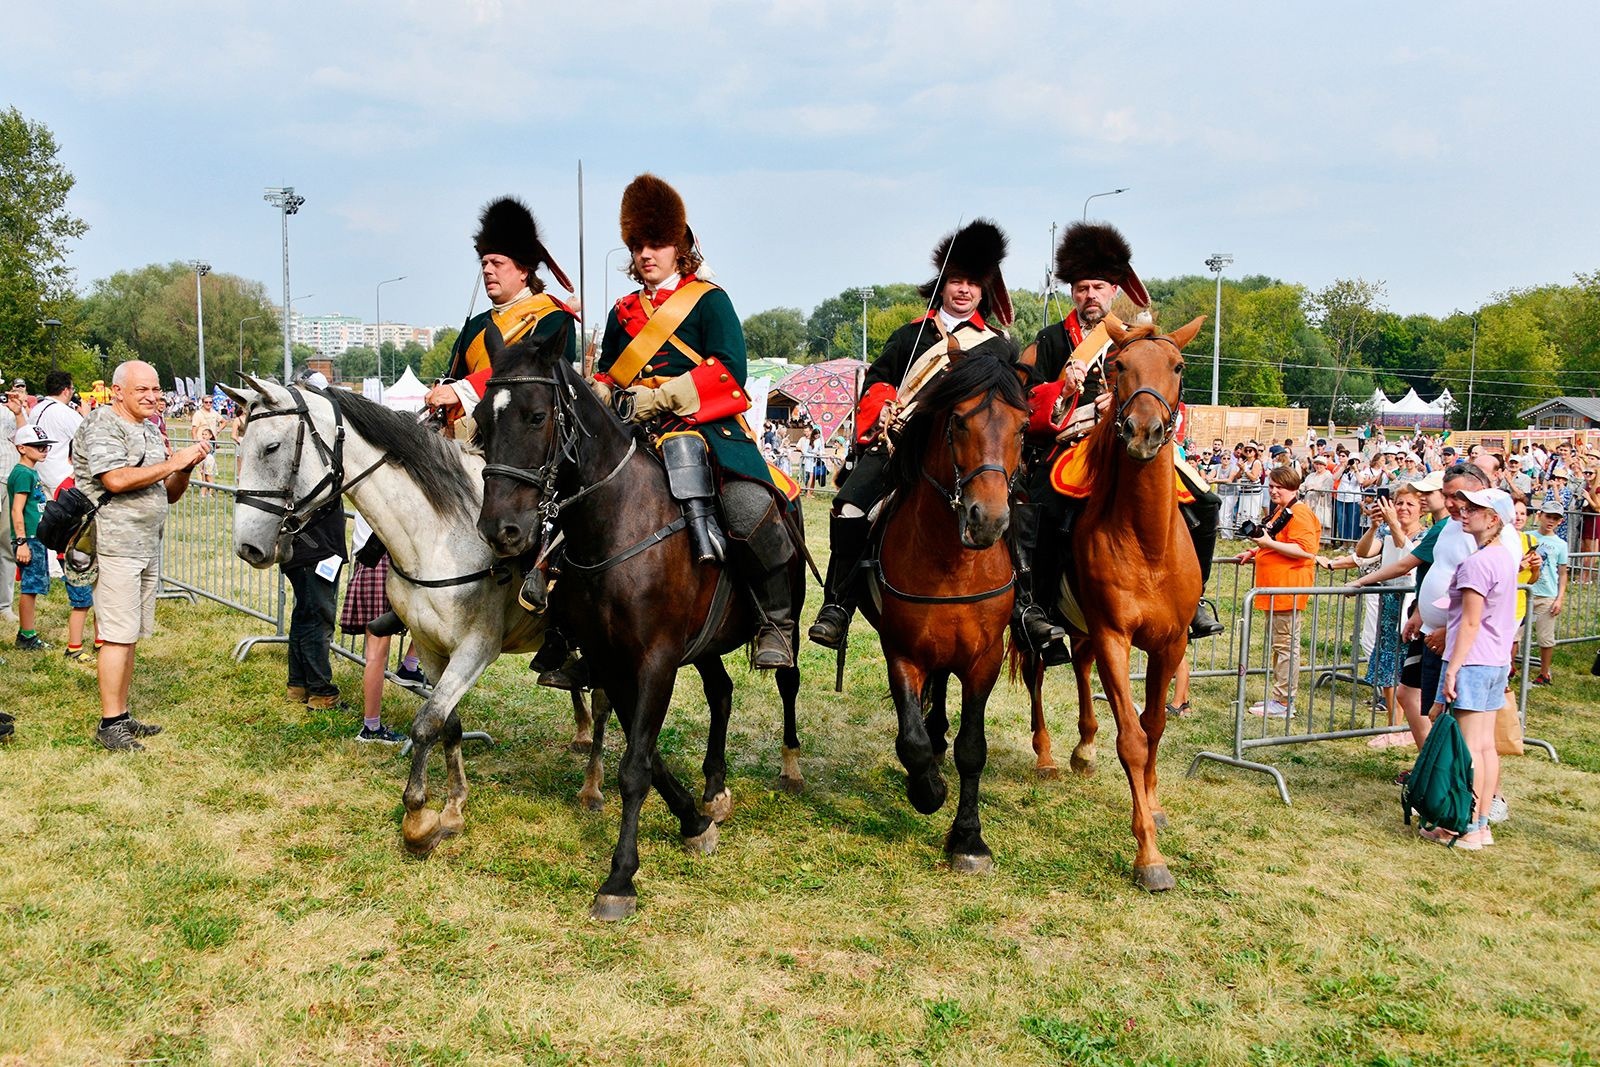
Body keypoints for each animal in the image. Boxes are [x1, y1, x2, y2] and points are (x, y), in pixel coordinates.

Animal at [228, 371, 614, 857]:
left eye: (272, 447)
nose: (248, 547)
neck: (441, 534)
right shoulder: (431, 648)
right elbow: (448, 724)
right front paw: (453, 805)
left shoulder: (475, 649)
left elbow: (427, 722)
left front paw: (417, 818)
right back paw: (577, 725)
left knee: (604, 701)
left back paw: (593, 785)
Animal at [470, 323, 800, 921]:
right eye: (482, 420)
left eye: (535, 415)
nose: (501, 530)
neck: (619, 523)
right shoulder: (611, 660)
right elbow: (645, 753)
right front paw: (693, 820)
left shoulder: (656, 661)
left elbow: (634, 767)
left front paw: (620, 877)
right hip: (706, 646)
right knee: (721, 692)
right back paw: (714, 788)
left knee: (787, 680)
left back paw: (790, 765)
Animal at [864, 343, 1024, 876]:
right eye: (957, 421)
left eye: (1021, 427)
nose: (987, 519)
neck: (953, 563)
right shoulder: (902, 652)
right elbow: (910, 740)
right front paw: (928, 789)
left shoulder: (984, 659)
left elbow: (972, 749)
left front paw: (969, 839)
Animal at [1017, 315, 1203, 895]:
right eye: (1119, 366)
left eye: (1178, 367)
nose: (1143, 432)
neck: (1147, 542)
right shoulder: (1115, 638)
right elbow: (1134, 739)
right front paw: (1149, 855)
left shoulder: (1170, 644)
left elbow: (1155, 726)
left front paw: (1155, 804)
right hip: (1039, 623)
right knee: (1035, 674)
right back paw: (1048, 755)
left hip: (1082, 629)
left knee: (1079, 667)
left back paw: (1083, 747)